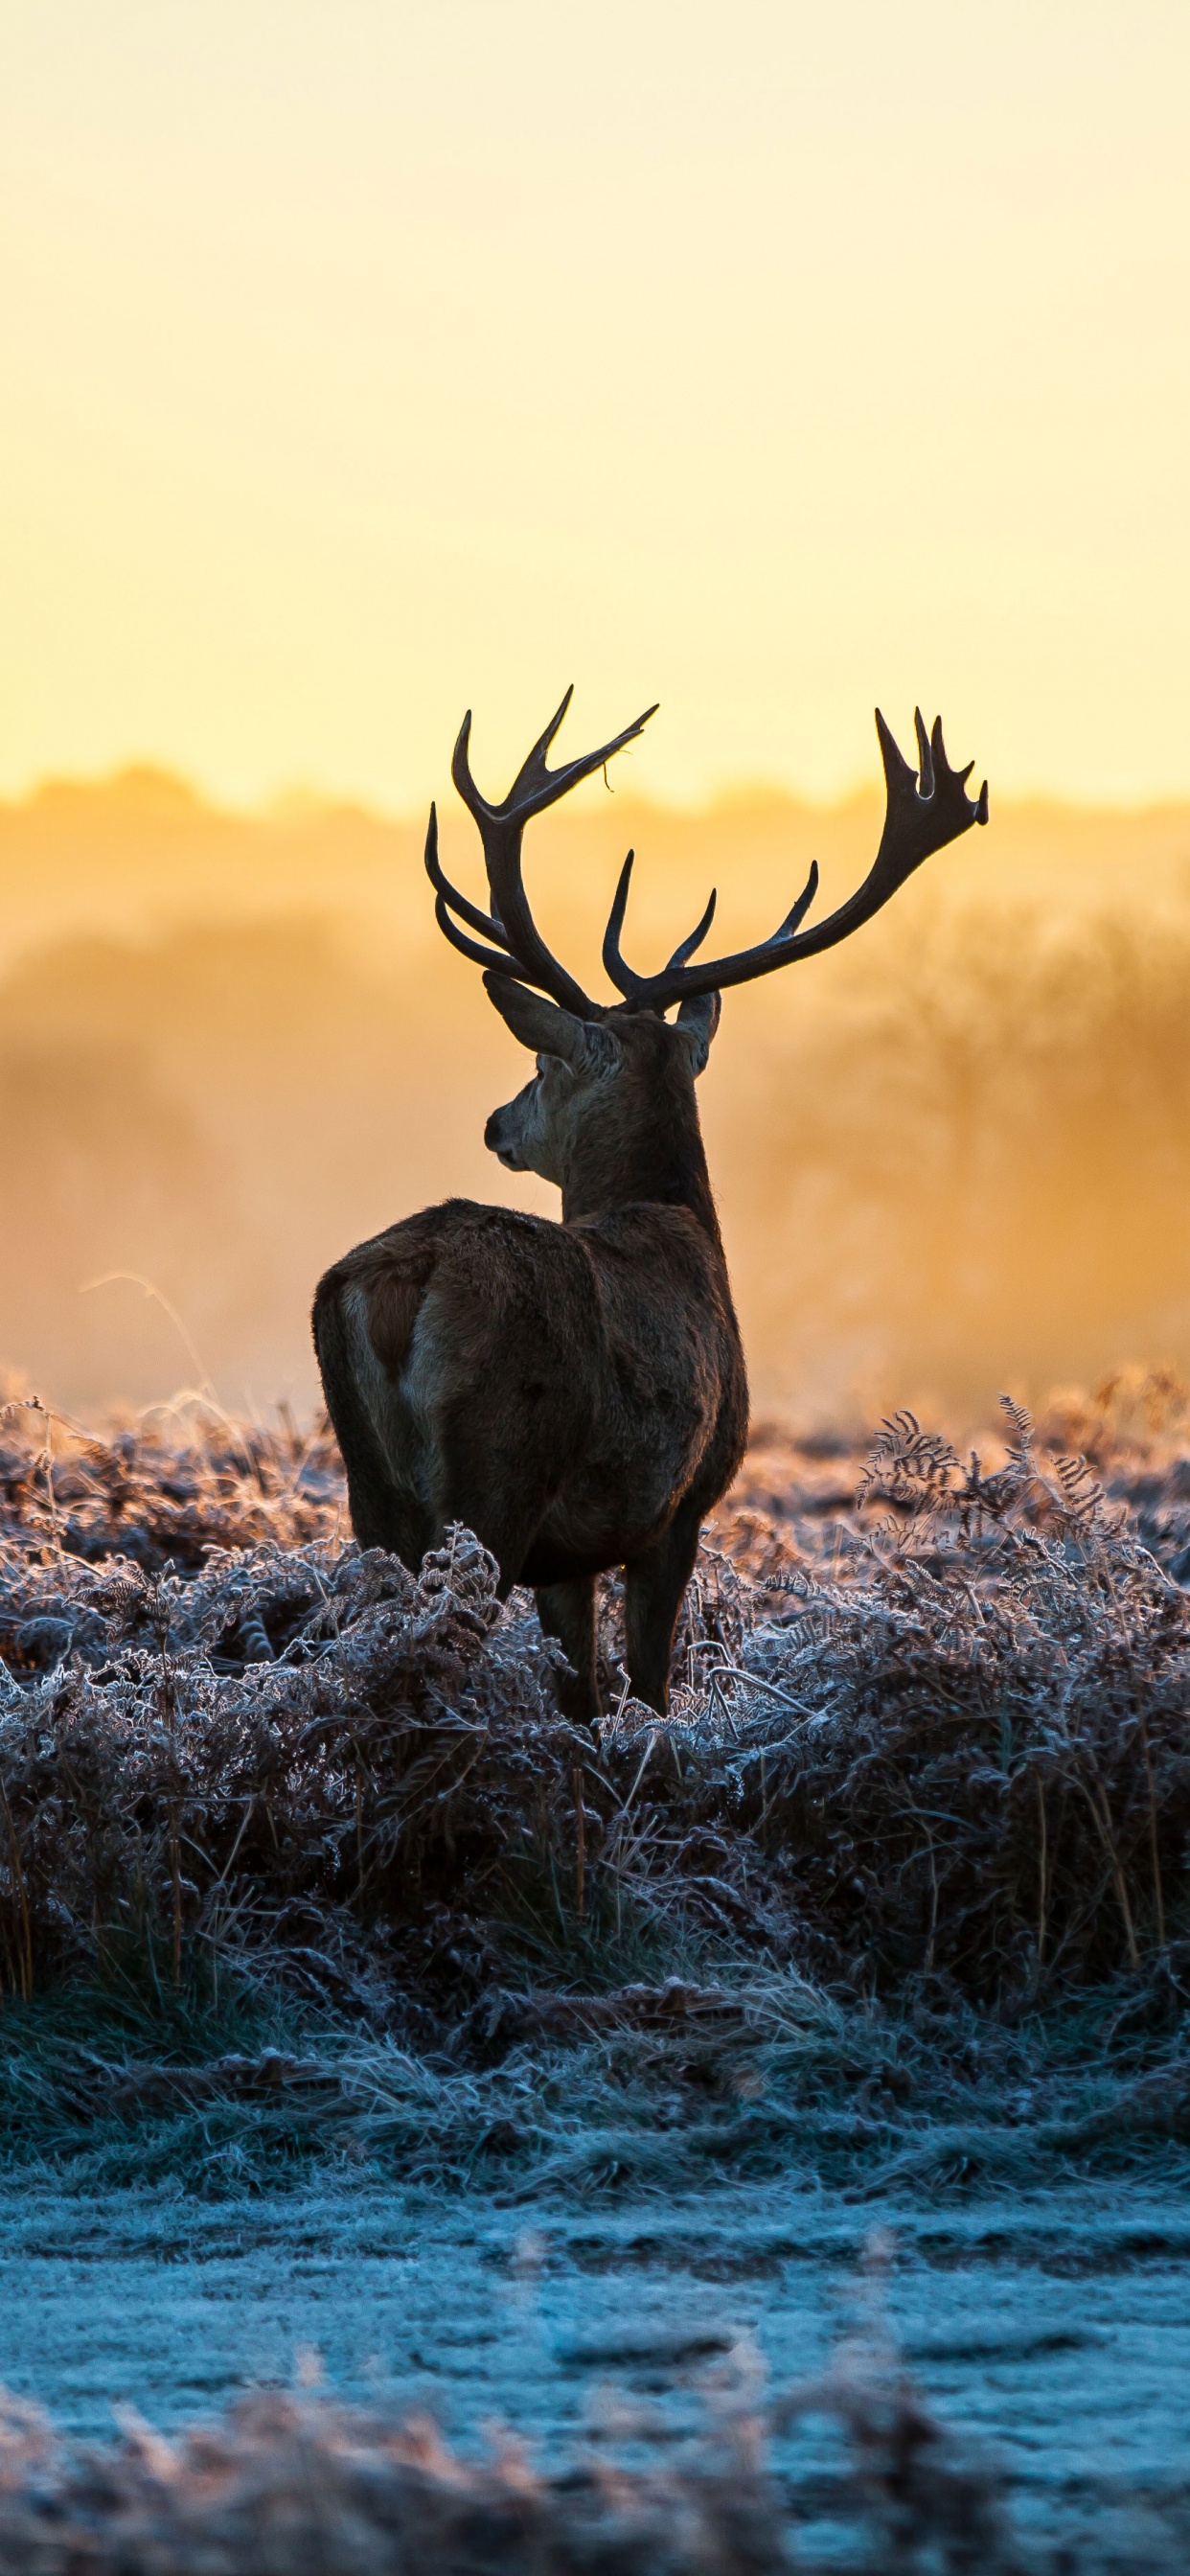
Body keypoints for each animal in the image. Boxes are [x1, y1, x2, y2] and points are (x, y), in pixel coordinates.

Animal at [313, 695, 983, 1720]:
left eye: (541, 1062)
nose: (496, 1122)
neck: (680, 1223)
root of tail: (400, 1282)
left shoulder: (573, 1554)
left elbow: (582, 1694)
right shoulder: (679, 1505)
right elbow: (650, 1689)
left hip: (371, 1492)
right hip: (497, 1473)